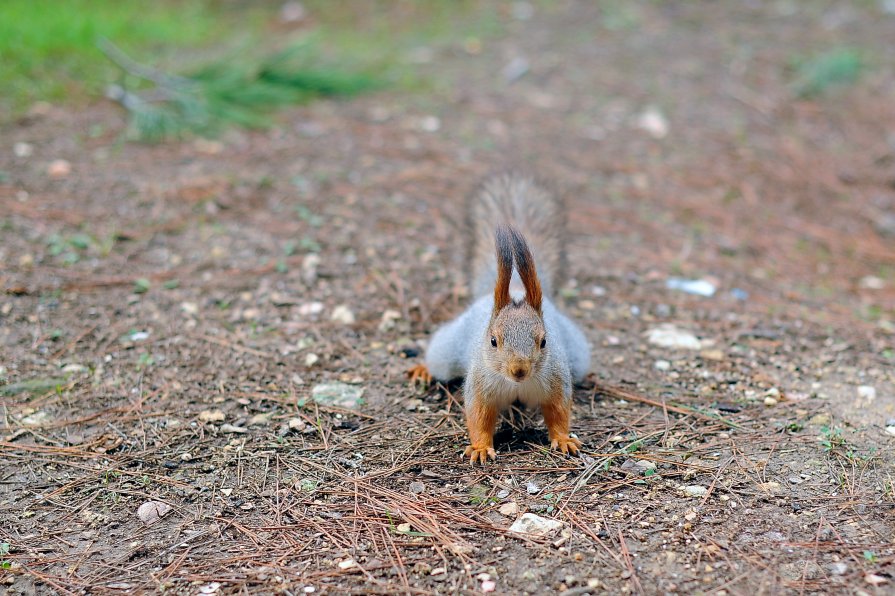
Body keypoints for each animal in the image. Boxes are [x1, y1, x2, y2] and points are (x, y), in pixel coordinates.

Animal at [408, 173, 592, 466]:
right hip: (448, 350)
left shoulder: (557, 381)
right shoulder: (480, 385)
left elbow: (559, 413)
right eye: (493, 341)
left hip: (577, 354)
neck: (516, 385)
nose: (519, 370)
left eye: (544, 341)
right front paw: (481, 447)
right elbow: (478, 417)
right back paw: (423, 369)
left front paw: (563, 439)